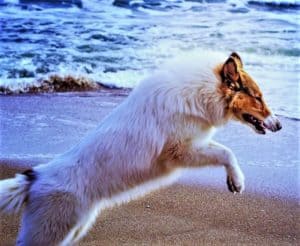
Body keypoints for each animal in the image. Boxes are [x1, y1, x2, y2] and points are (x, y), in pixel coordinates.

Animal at [0, 51, 282, 245]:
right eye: (258, 98)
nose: (279, 125)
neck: (204, 90)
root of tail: (34, 179)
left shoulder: (195, 144)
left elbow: (224, 151)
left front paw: (234, 179)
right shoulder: (180, 152)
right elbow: (226, 152)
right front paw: (238, 181)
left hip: (72, 228)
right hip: (49, 232)